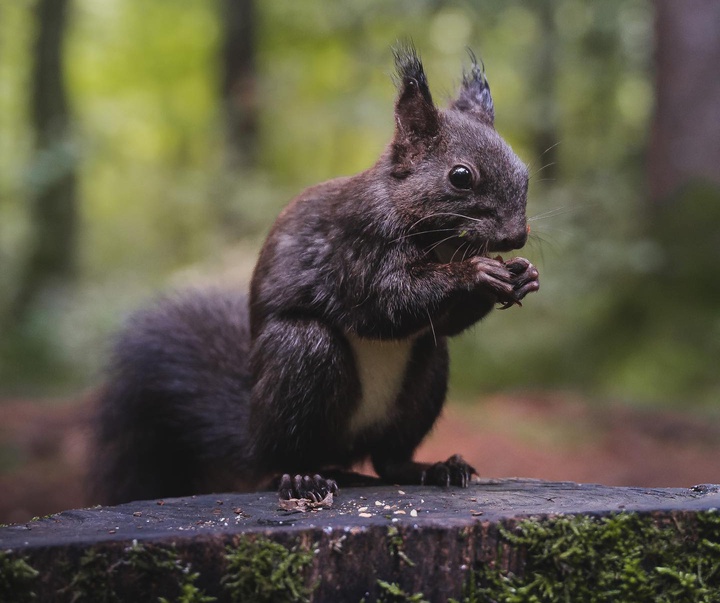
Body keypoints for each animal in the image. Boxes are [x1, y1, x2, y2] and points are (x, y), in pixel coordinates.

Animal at [90, 46, 536, 504]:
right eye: (460, 176)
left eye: (524, 170)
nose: (516, 237)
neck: (439, 238)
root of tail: (253, 432)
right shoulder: (356, 245)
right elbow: (385, 304)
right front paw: (475, 273)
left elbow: (442, 321)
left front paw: (523, 276)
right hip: (300, 358)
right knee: (284, 455)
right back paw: (304, 477)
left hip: (426, 373)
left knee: (389, 458)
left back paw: (433, 468)